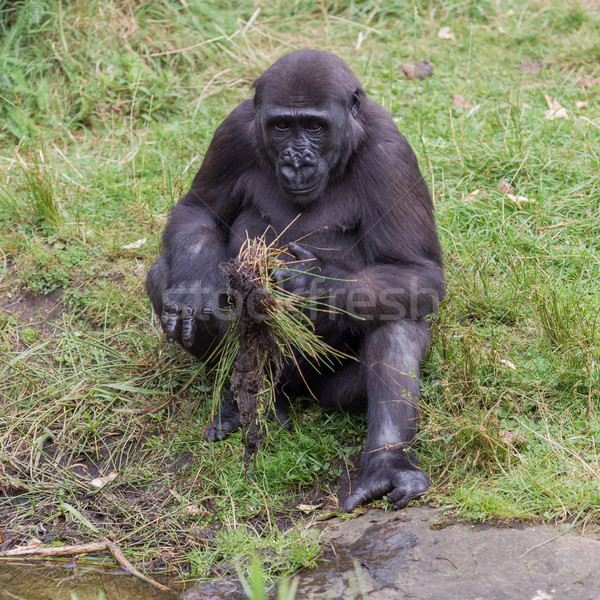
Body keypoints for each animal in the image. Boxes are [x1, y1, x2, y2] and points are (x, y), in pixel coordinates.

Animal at [147, 49, 442, 512]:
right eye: (282, 125)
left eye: (315, 127)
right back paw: (241, 404)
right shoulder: (234, 130)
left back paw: (387, 462)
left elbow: (417, 272)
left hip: (325, 391)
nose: (297, 160)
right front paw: (195, 289)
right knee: (166, 272)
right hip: (273, 376)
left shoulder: (390, 154)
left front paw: (316, 286)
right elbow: (198, 211)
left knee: (397, 314)